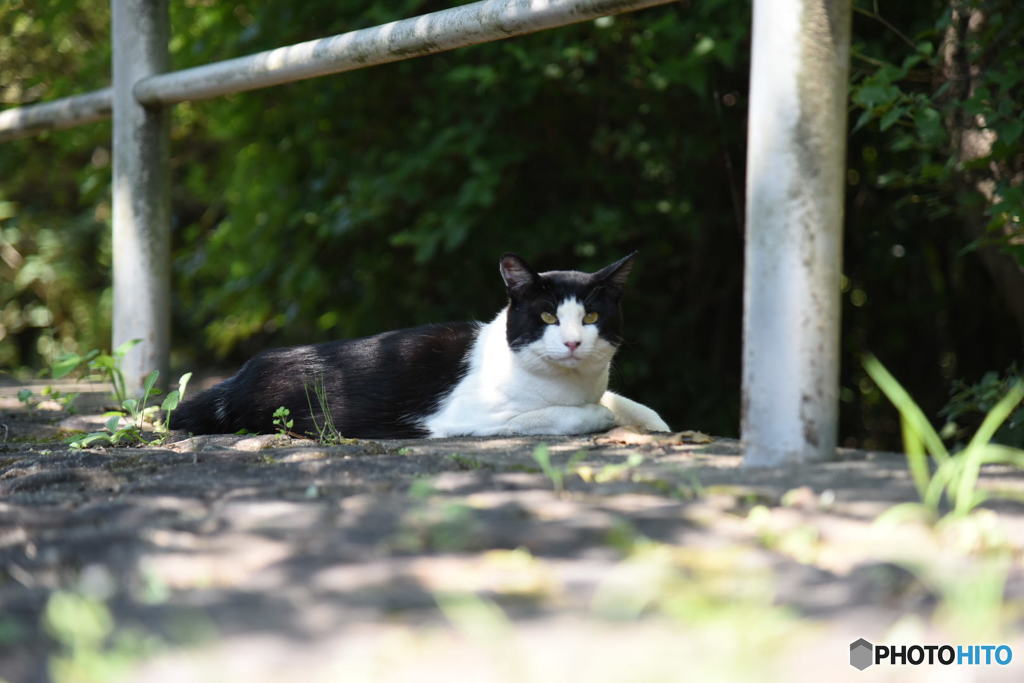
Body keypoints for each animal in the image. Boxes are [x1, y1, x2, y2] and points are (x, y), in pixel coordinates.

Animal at [174, 253, 671, 440]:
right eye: (548, 317)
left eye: (591, 318)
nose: (571, 342)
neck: (575, 383)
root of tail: (240, 375)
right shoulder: (467, 418)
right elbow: (576, 413)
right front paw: (601, 416)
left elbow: (620, 398)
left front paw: (657, 423)